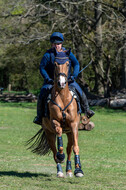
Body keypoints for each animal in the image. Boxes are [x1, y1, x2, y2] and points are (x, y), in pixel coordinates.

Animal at [28, 50, 84, 178]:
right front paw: (61, 156)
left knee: (69, 149)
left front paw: (78, 170)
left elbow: (76, 147)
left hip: (69, 133)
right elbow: (59, 144)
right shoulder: (55, 122)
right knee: (54, 152)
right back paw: (60, 171)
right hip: (49, 133)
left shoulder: (73, 125)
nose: (61, 83)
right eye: (55, 64)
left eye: (68, 64)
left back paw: (69, 171)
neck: (63, 97)